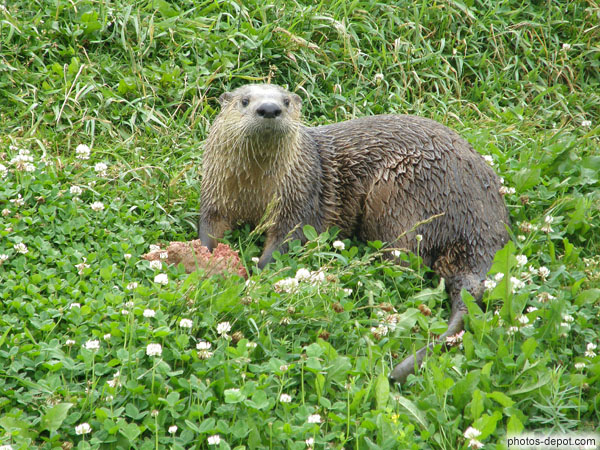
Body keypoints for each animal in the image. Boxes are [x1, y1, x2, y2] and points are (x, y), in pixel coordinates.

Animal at [198, 84, 509, 383]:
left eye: (285, 101)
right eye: (245, 101)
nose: (269, 108)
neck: (254, 192)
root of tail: (482, 223)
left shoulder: (298, 200)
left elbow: (284, 243)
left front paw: (255, 277)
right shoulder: (214, 195)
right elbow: (208, 229)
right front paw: (206, 261)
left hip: (400, 192)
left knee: (407, 260)